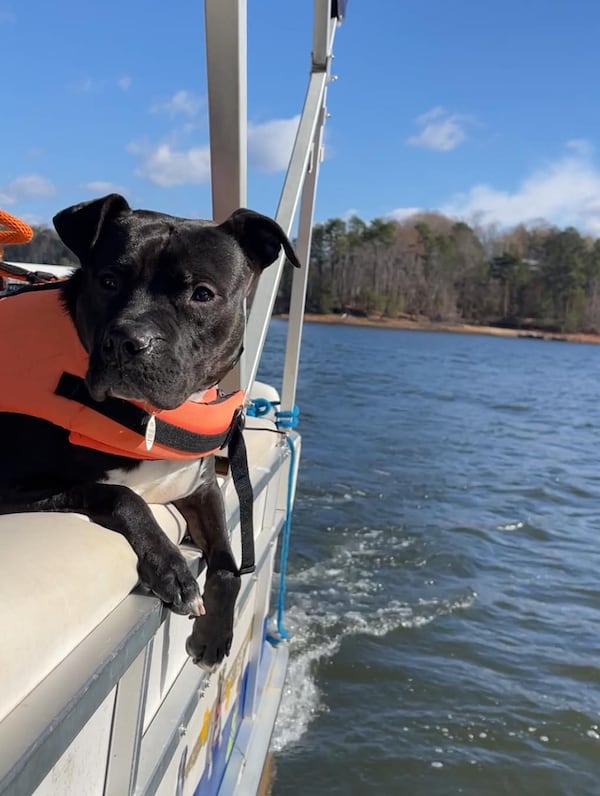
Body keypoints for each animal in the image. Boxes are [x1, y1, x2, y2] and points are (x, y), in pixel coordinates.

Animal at [0, 194, 300, 672]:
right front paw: (173, 570)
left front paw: (214, 636)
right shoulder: (10, 483)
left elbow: (228, 564)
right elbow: (119, 494)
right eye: (107, 281)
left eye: (202, 293)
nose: (128, 341)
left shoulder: (200, 489)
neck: (148, 418)